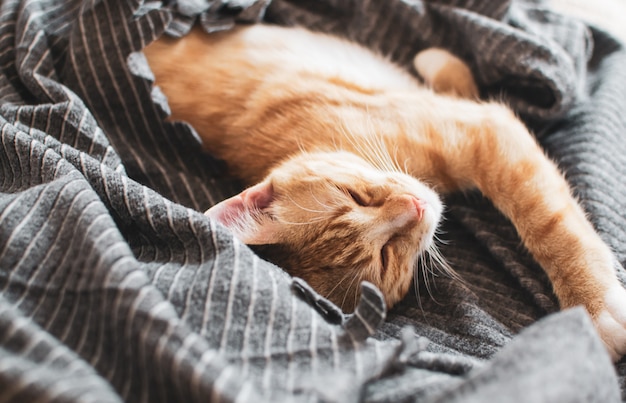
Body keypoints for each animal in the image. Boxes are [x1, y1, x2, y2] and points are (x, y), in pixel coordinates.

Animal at [144, 24, 624, 360]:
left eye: (356, 196)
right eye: (387, 255)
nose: (414, 206)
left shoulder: (486, 128)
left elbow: (548, 224)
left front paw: (592, 302)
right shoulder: (486, 126)